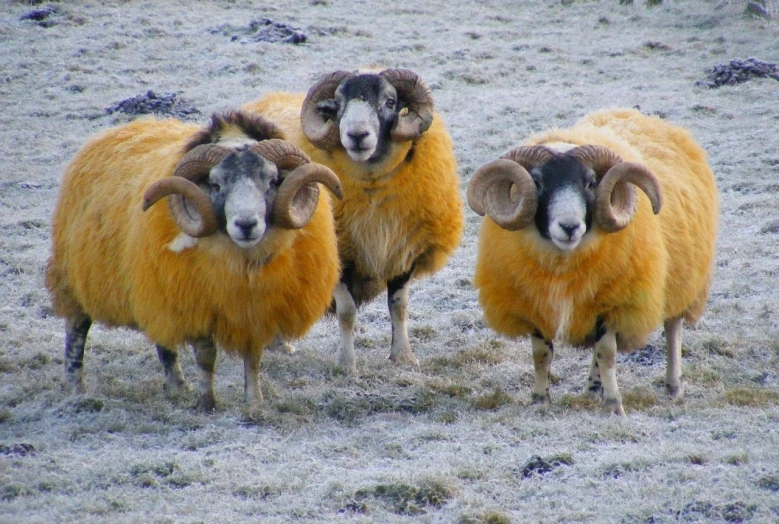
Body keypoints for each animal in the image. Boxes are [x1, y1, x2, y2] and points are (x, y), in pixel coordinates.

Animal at [45, 110, 344, 412]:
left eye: (271, 182)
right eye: (215, 184)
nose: (246, 225)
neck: (241, 261)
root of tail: (110, 134)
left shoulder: (254, 312)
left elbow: (253, 358)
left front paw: (254, 402)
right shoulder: (196, 304)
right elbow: (206, 357)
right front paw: (207, 402)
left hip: (155, 291)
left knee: (164, 340)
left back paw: (176, 387)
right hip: (75, 277)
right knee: (76, 330)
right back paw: (74, 386)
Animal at [244, 68, 464, 372]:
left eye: (390, 102)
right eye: (338, 104)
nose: (357, 135)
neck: (371, 186)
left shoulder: (403, 251)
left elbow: (399, 306)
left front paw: (403, 356)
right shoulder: (338, 252)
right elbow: (346, 312)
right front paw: (346, 364)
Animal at [470, 108, 720, 416]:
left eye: (590, 183)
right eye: (538, 183)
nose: (569, 227)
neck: (563, 263)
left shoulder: (614, 301)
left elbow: (607, 353)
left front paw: (614, 405)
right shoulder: (537, 303)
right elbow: (541, 354)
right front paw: (540, 400)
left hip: (683, 277)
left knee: (673, 330)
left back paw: (673, 387)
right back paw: (591, 389)